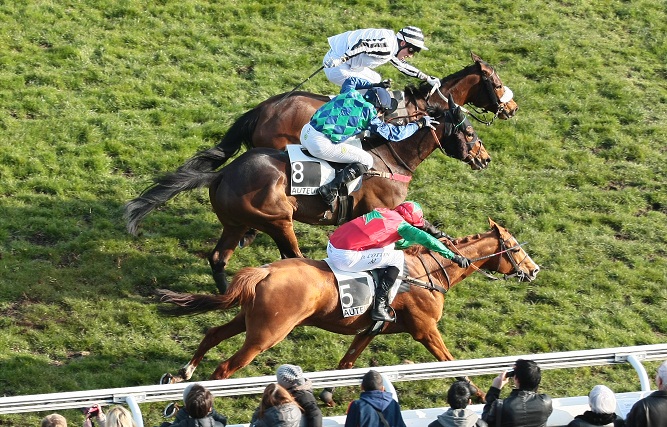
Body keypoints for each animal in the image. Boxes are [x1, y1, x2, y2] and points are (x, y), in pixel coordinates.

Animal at [125, 102, 490, 292]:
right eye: (470, 132)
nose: (484, 159)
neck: (391, 158)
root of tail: (223, 174)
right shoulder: (382, 209)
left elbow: (426, 227)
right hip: (277, 219)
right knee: (291, 256)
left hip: (234, 222)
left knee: (218, 258)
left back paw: (227, 294)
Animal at [158, 221, 544, 404]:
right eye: (516, 248)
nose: (534, 269)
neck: (426, 272)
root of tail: (265, 270)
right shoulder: (425, 330)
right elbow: (450, 362)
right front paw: (477, 394)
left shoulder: (369, 330)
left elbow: (346, 364)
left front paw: (330, 393)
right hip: (268, 333)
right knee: (226, 366)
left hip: (250, 319)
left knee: (213, 334)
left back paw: (180, 374)